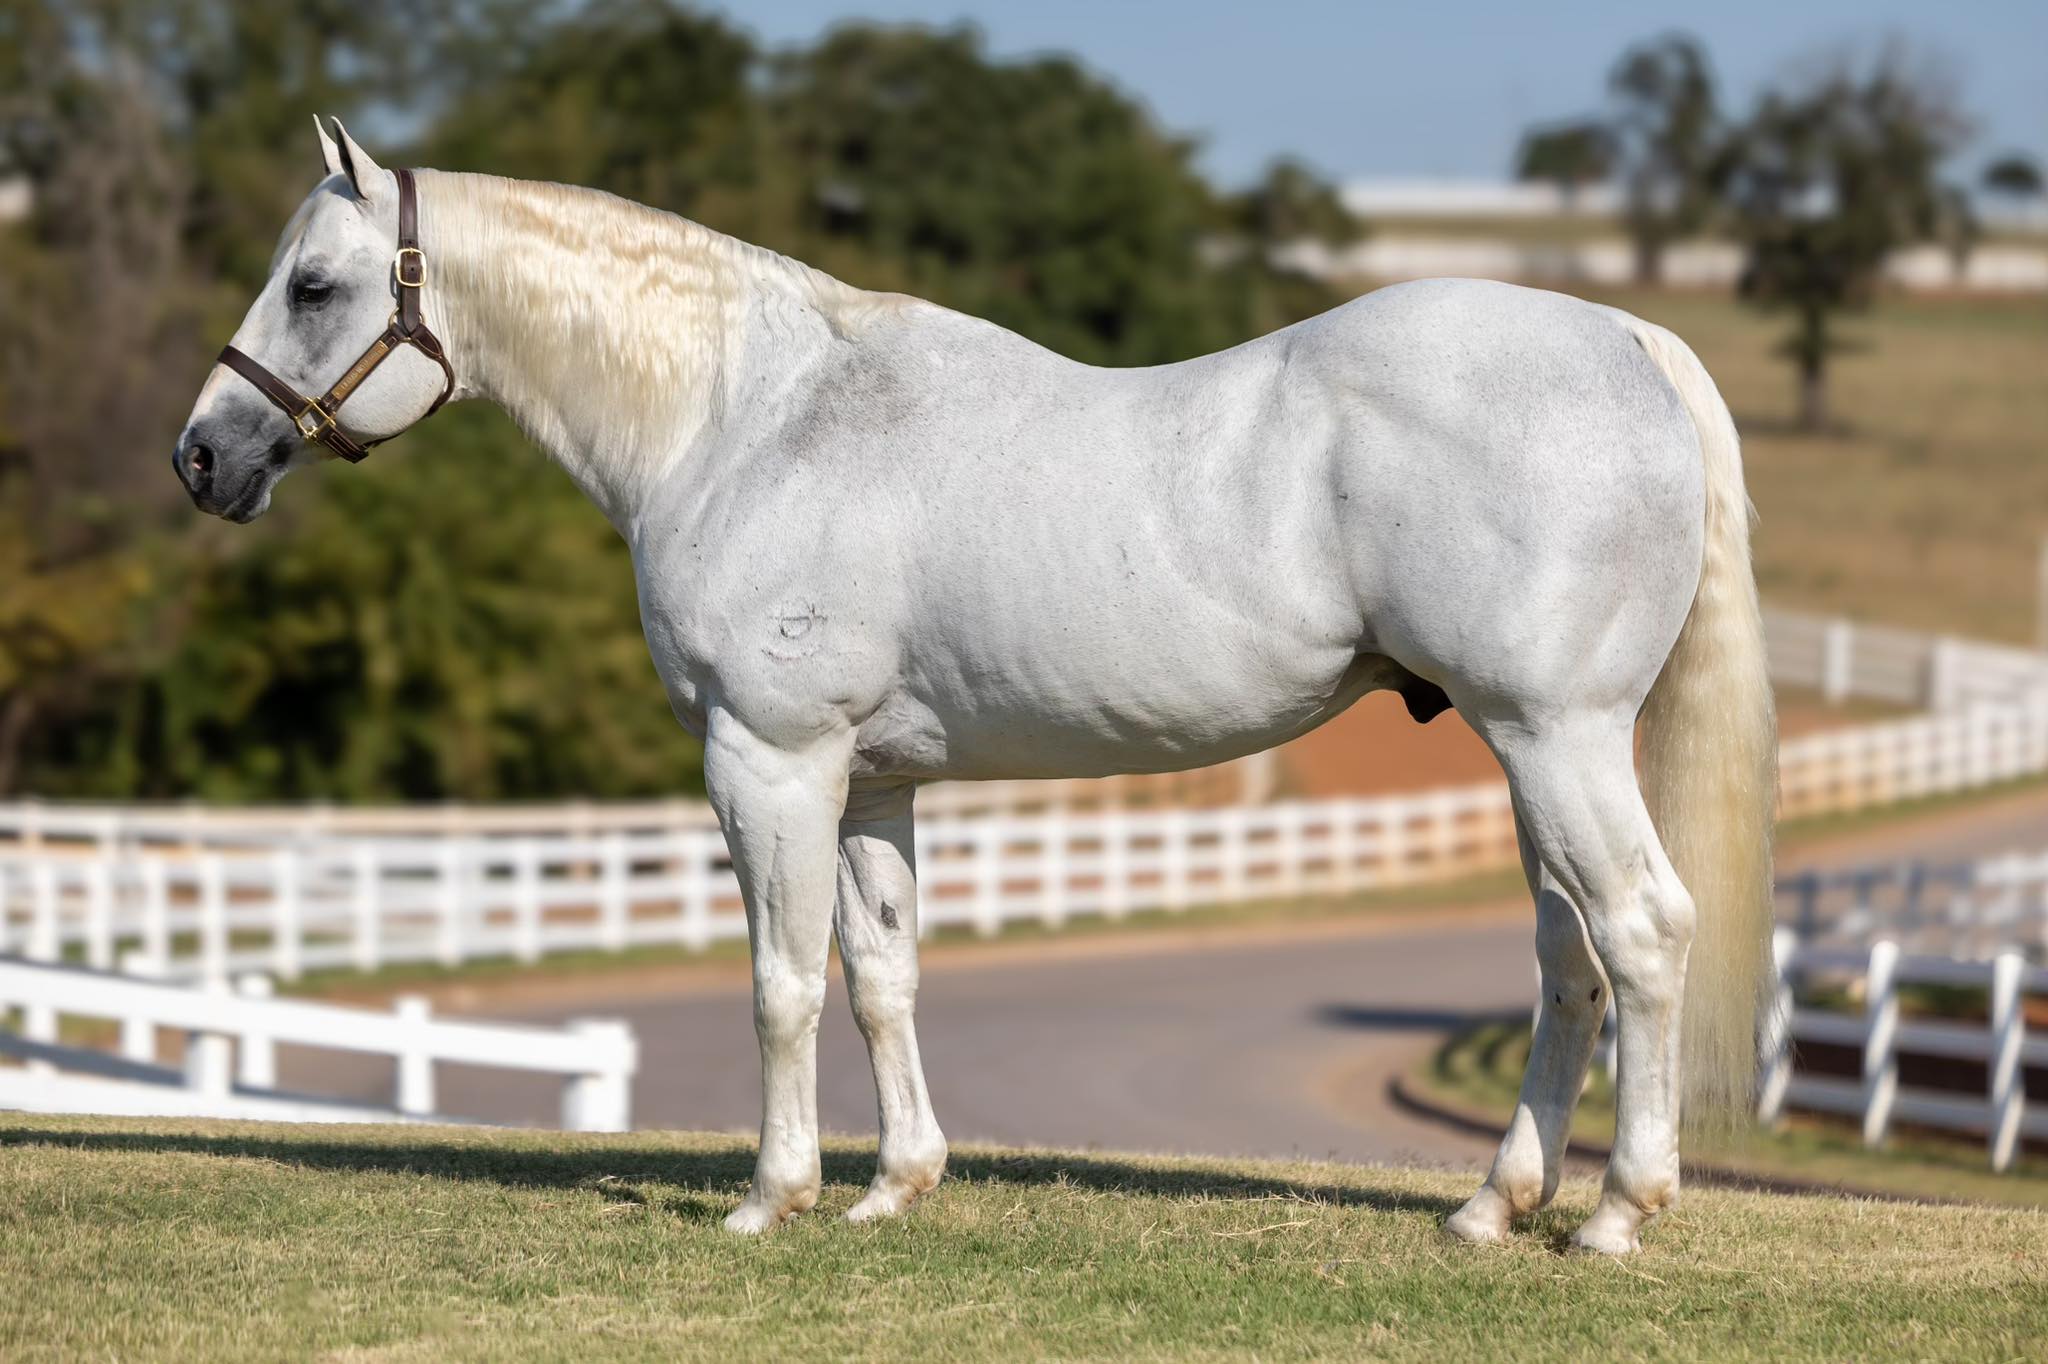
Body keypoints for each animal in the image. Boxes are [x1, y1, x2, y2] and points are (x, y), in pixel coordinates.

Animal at [174, 119, 1776, 1254]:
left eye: (313, 284)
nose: (202, 456)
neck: (747, 420)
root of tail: (1626, 338)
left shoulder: (770, 762)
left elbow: (778, 981)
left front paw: (772, 1196)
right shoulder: (871, 781)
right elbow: (880, 976)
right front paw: (898, 1186)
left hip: (1555, 737)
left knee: (1642, 931)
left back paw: (1618, 1213)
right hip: (1530, 749)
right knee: (1567, 958)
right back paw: (1494, 1205)